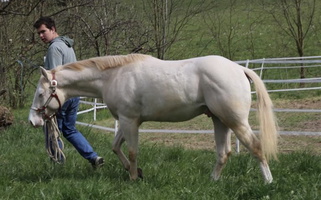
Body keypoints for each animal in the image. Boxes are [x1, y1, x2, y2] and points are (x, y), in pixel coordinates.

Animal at [28, 54, 276, 184]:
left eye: (40, 93)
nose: (33, 121)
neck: (113, 76)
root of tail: (239, 69)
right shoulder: (126, 121)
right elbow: (116, 147)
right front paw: (136, 172)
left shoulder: (129, 121)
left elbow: (131, 151)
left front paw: (133, 178)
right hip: (219, 120)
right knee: (224, 153)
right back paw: (212, 181)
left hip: (235, 121)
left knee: (256, 146)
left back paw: (268, 181)